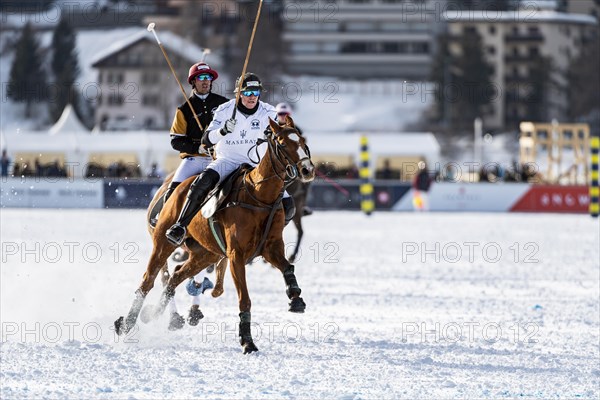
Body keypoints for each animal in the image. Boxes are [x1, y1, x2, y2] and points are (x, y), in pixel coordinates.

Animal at [114, 118, 316, 354]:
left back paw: (158, 315)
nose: (307, 170)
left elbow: (287, 266)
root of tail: (177, 186)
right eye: (283, 143)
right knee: (150, 280)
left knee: (176, 276)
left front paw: (295, 298)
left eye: (302, 140)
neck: (259, 196)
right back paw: (127, 323)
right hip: (164, 241)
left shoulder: (271, 247)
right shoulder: (236, 255)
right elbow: (244, 299)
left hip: (206, 253)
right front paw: (247, 342)